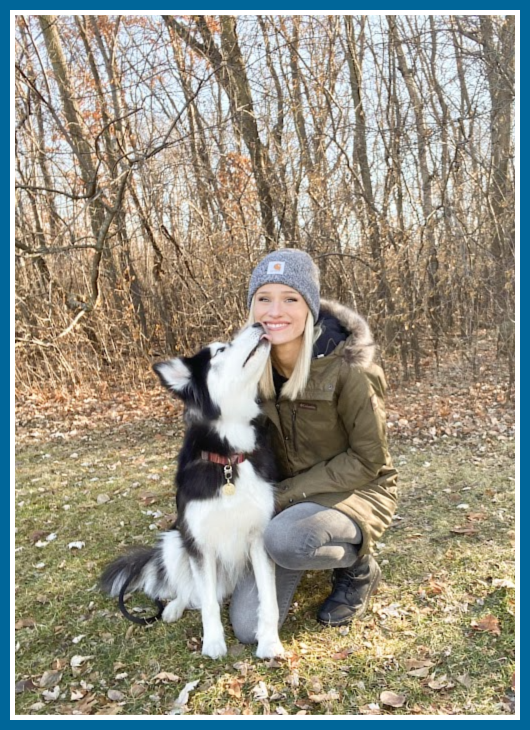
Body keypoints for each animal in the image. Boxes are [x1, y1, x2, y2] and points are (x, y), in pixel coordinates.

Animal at [100, 323, 284, 659]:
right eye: (220, 350)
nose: (259, 324)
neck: (228, 460)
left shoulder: (259, 537)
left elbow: (269, 600)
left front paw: (269, 643)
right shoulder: (199, 544)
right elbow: (208, 603)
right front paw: (213, 643)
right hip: (175, 542)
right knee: (192, 592)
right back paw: (173, 607)